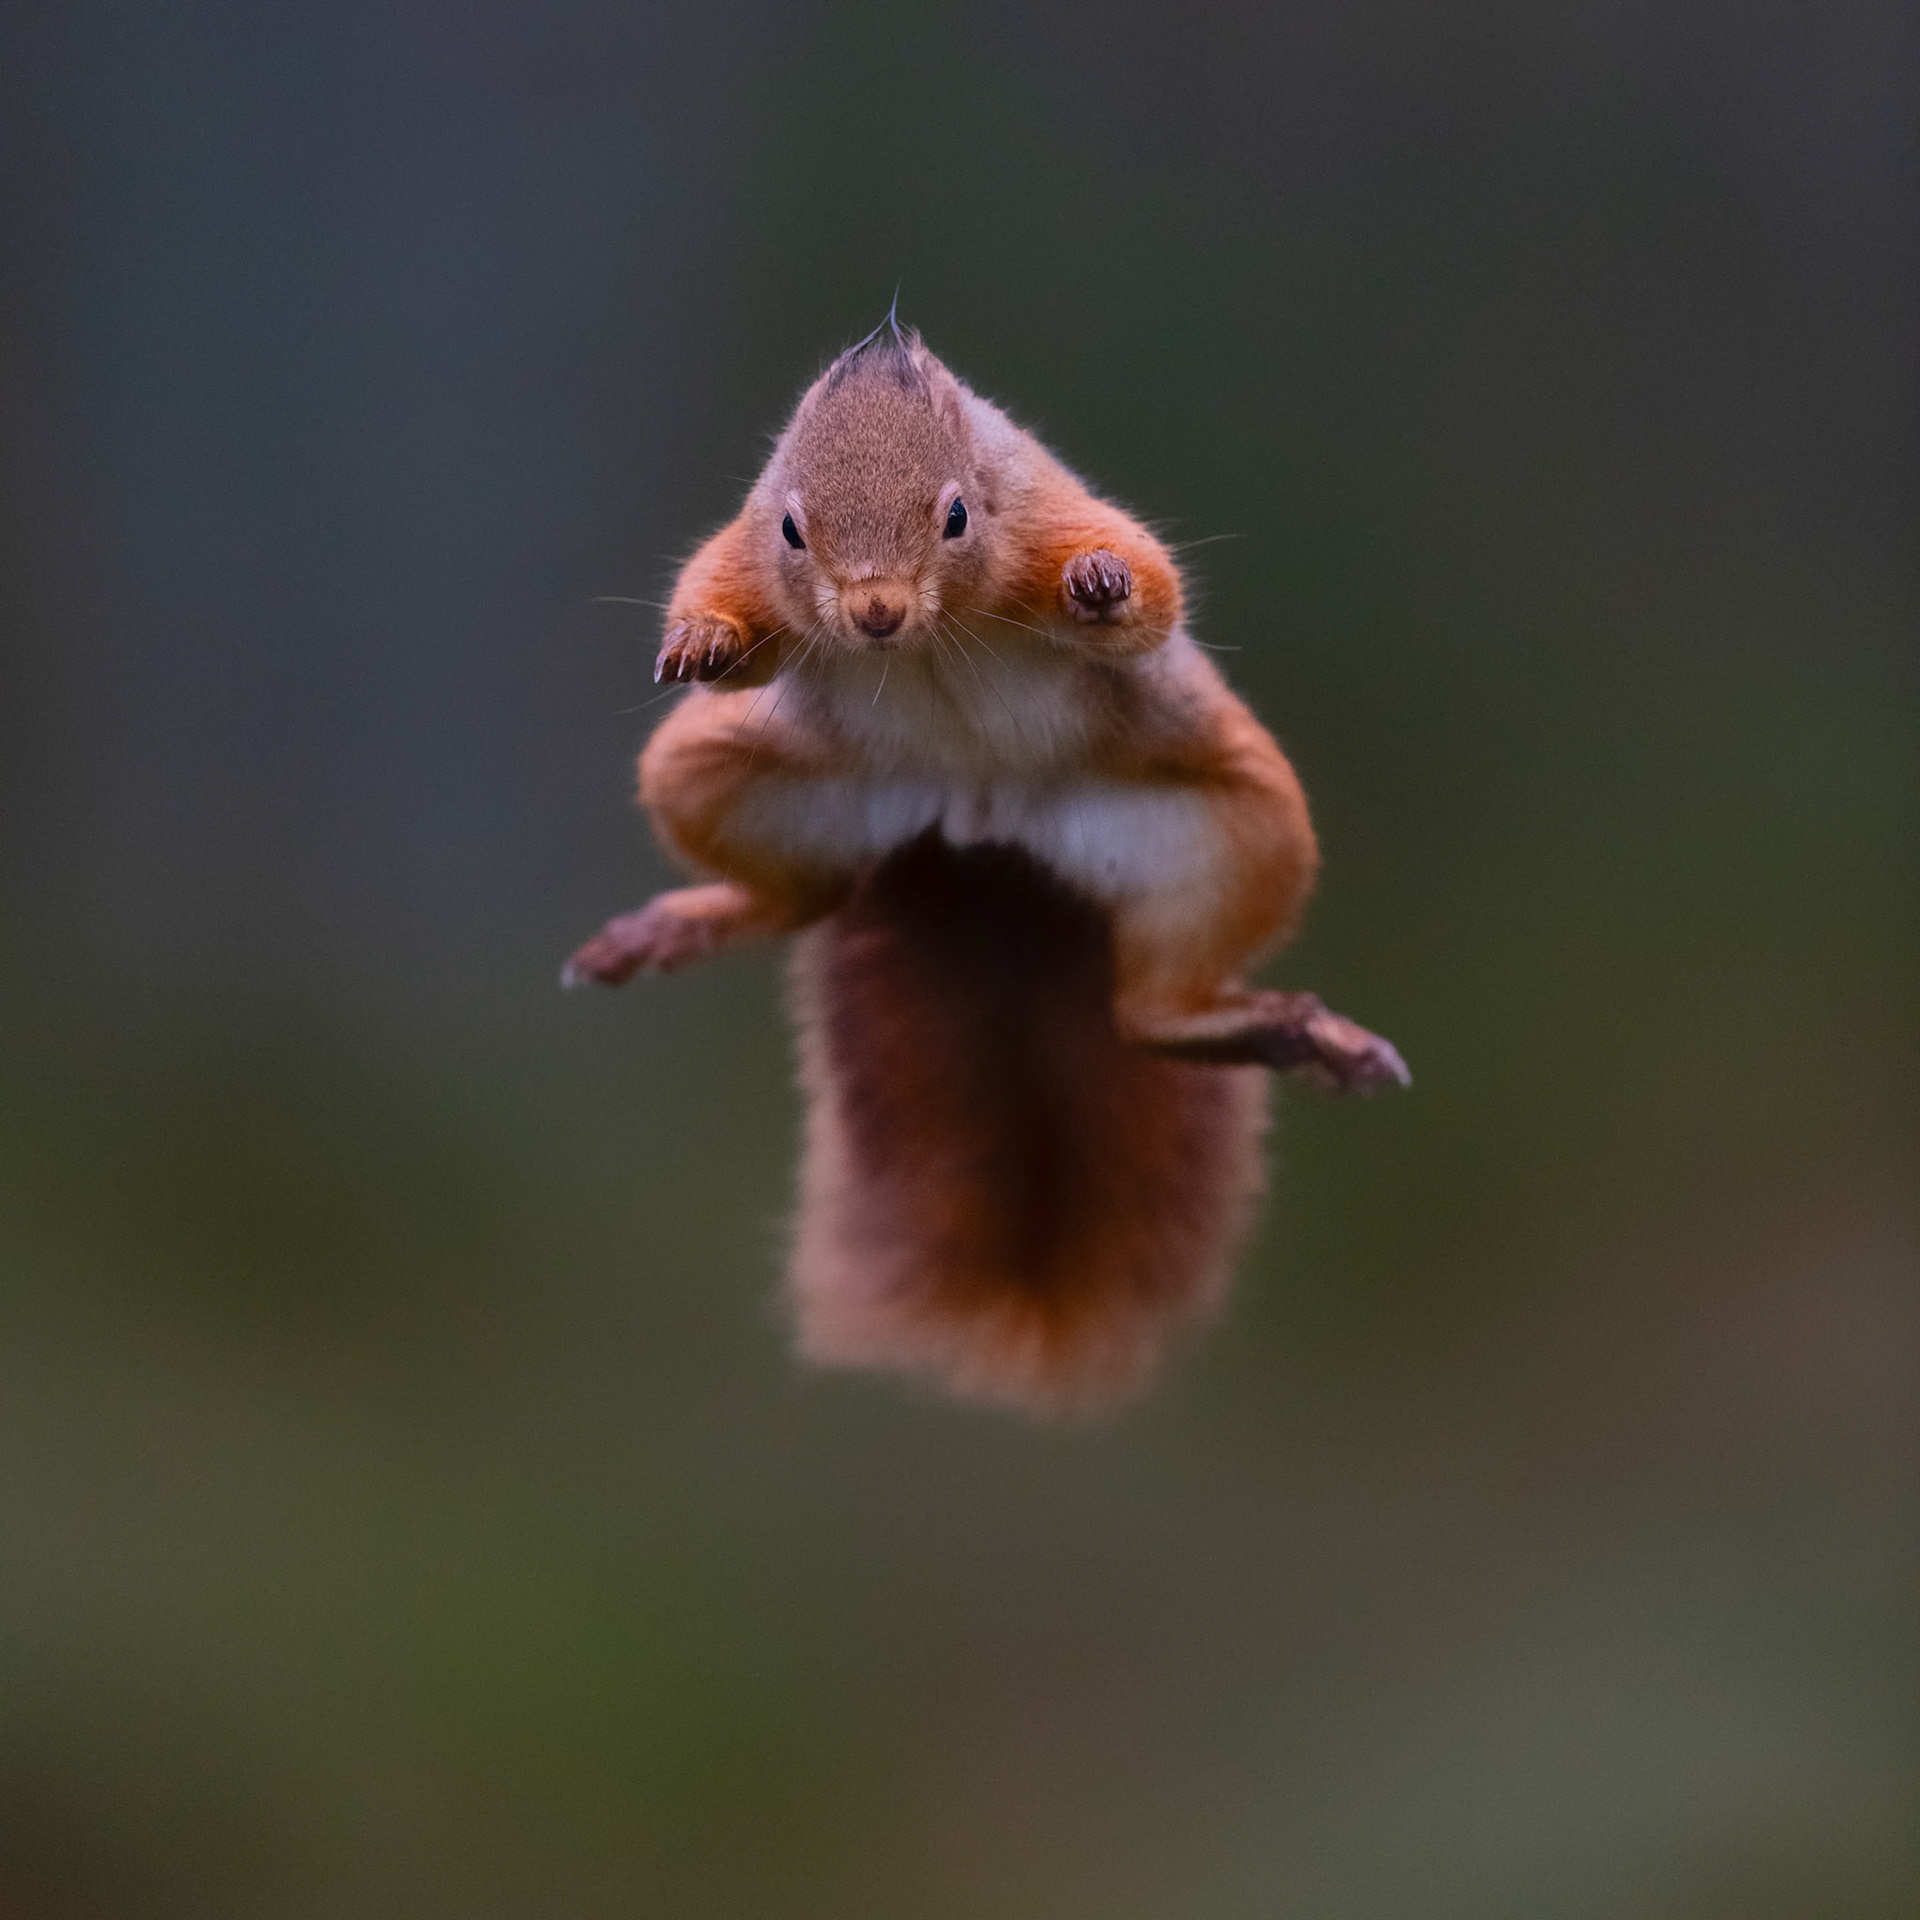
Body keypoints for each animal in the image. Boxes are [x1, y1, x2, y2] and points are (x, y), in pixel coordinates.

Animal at [564, 313, 1408, 1415]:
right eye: (791, 527)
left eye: (959, 514)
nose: (875, 614)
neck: (930, 633)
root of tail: (979, 818)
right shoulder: (745, 557)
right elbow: (721, 605)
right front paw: (701, 637)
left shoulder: (1051, 515)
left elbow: (1151, 591)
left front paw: (1103, 590)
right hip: (710, 777)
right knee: (802, 897)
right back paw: (675, 926)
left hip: (1237, 830)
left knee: (1149, 1011)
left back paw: (1282, 1030)